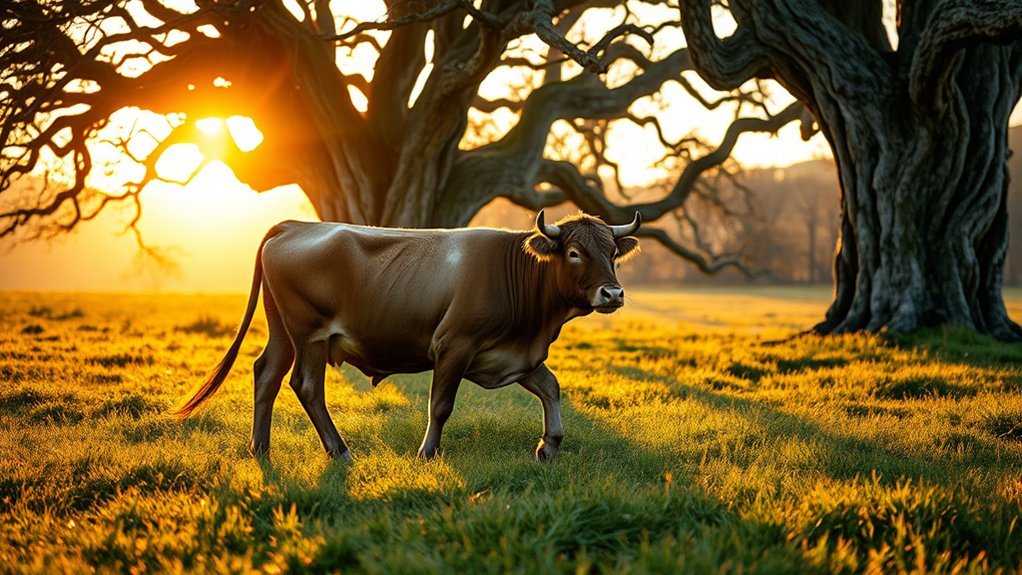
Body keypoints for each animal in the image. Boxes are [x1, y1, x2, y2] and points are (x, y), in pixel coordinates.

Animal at [173, 210, 640, 461]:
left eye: (614, 254)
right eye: (575, 253)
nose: (613, 293)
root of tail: (294, 225)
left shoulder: (511, 354)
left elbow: (551, 386)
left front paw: (550, 445)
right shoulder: (454, 344)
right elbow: (441, 404)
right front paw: (428, 452)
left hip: (282, 331)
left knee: (266, 373)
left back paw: (261, 447)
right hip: (310, 334)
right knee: (304, 385)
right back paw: (338, 450)